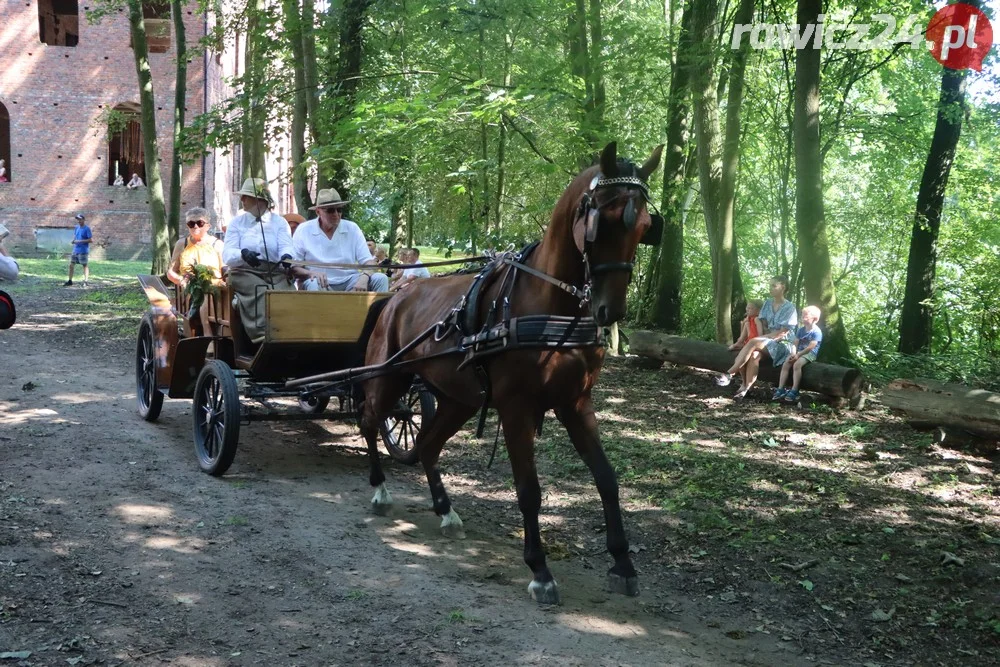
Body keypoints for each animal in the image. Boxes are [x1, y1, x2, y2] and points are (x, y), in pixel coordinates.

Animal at [360, 144, 664, 608]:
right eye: (604, 219)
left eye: (646, 225)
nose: (610, 311)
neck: (548, 304)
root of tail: (396, 296)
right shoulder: (516, 407)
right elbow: (529, 489)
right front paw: (539, 569)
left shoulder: (576, 403)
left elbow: (607, 480)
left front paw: (622, 564)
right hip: (389, 377)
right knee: (370, 420)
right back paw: (379, 489)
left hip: (458, 400)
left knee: (428, 444)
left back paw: (445, 509)